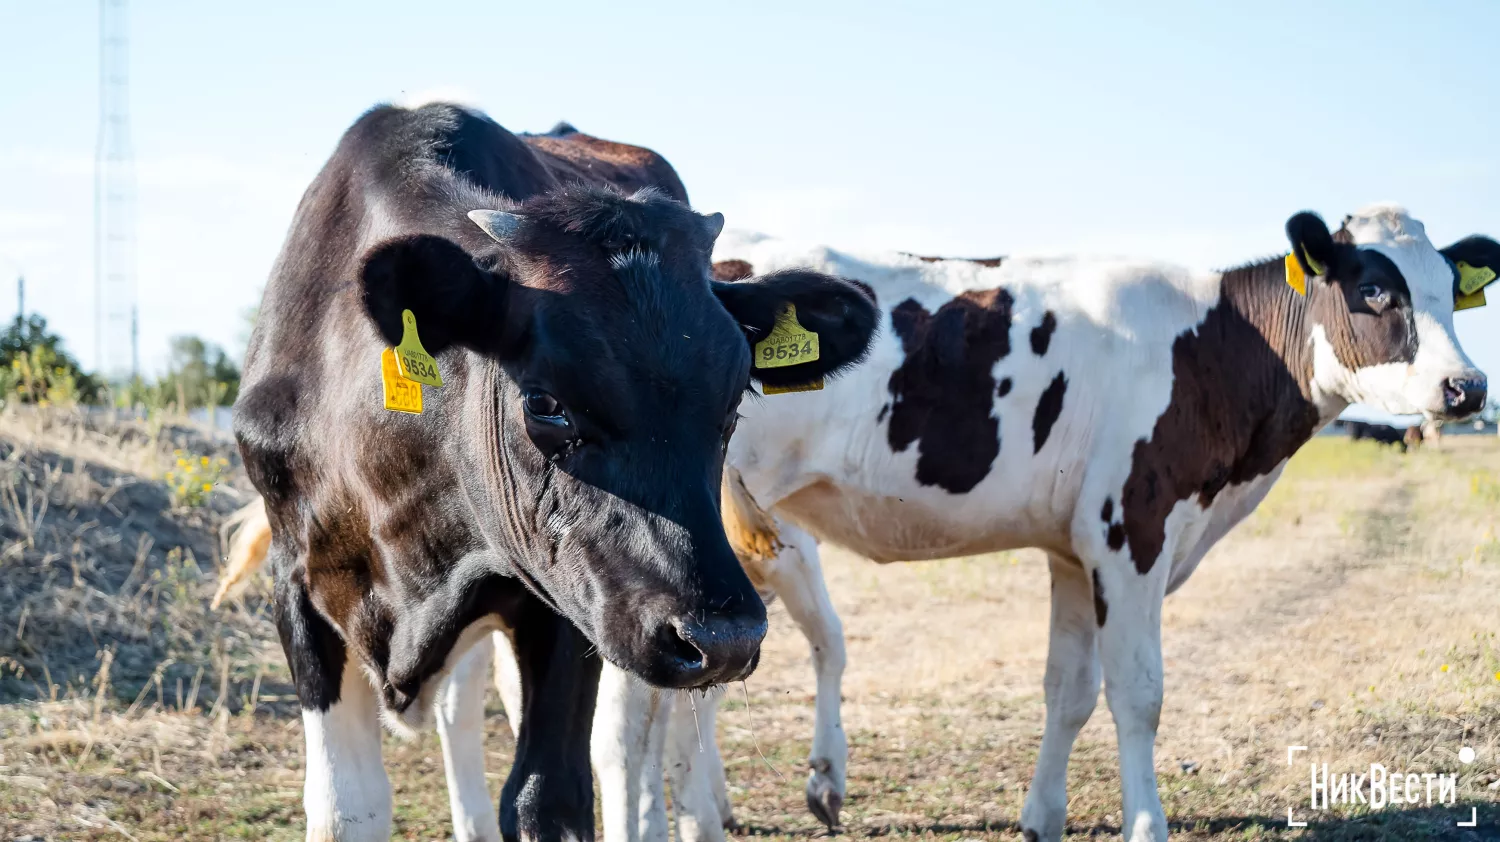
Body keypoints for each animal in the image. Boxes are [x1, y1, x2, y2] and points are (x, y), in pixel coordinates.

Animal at [234, 103, 876, 840]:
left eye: (735, 400)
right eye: (544, 402)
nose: (723, 639)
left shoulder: (567, 601)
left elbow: (549, 795)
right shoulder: (297, 583)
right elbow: (347, 804)